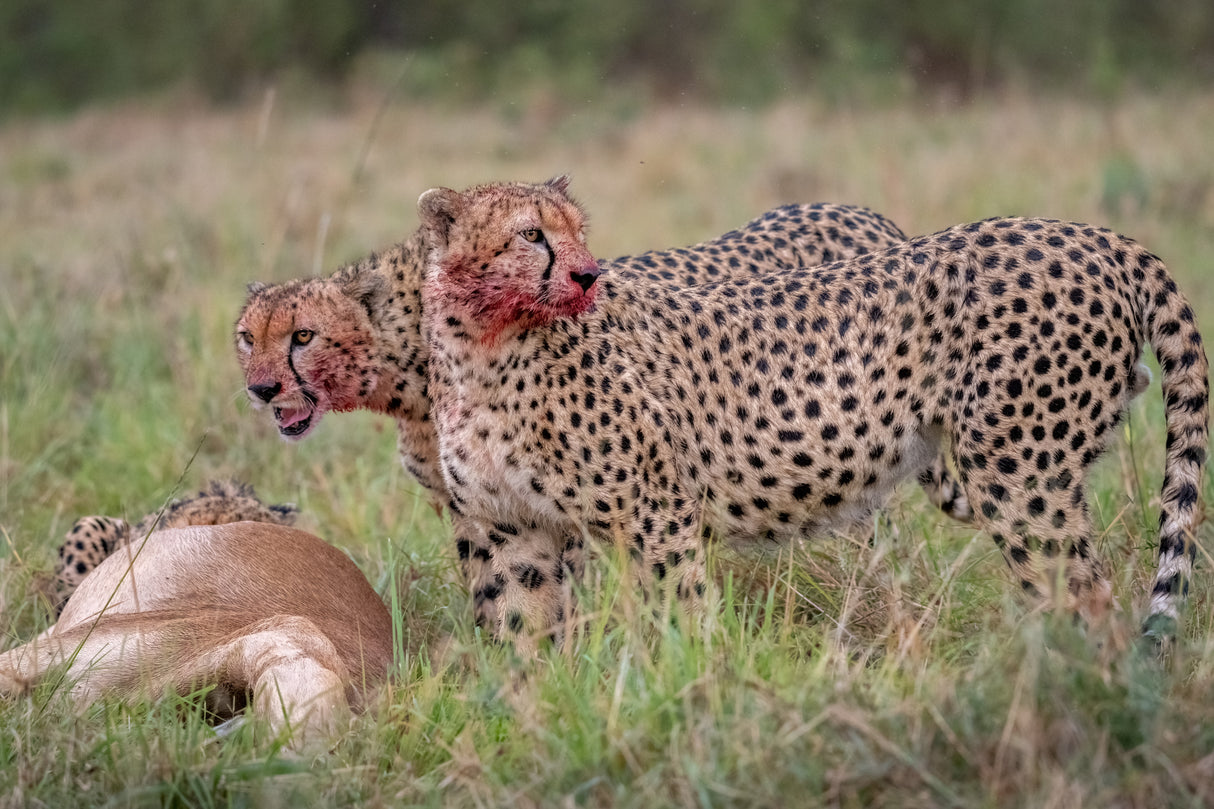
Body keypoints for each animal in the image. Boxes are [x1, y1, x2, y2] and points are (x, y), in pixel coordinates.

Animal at [235, 195, 980, 632]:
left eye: (302, 336)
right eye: (247, 336)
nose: (262, 389)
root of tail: (865, 214)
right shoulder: (478, 506)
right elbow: (500, 595)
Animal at [417, 176, 1207, 654]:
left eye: (577, 230)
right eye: (530, 234)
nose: (588, 273)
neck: (484, 346)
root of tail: (1094, 235)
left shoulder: (655, 511)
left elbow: (681, 611)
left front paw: (695, 687)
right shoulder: (511, 529)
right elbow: (524, 633)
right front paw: (531, 709)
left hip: (1020, 474)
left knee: (1085, 595)